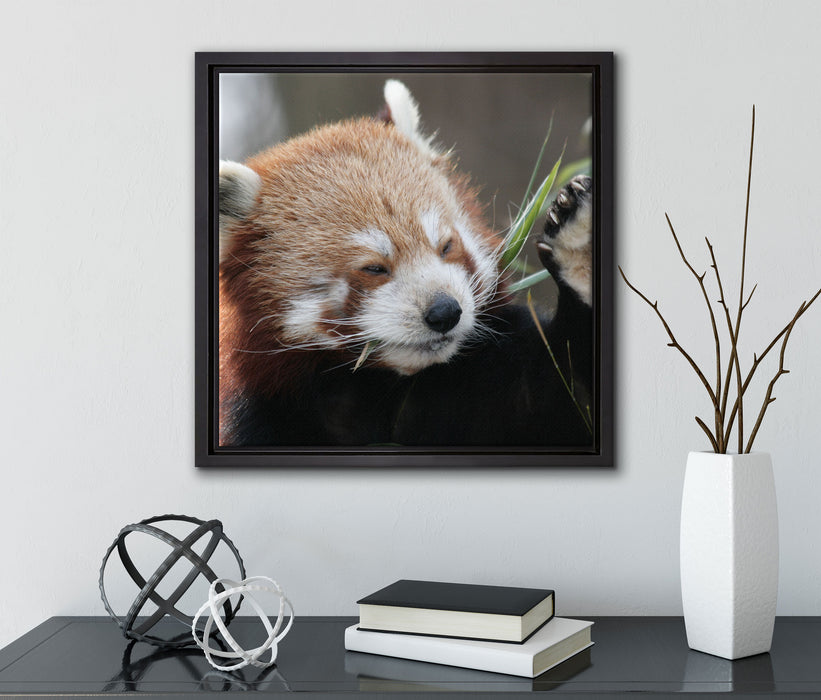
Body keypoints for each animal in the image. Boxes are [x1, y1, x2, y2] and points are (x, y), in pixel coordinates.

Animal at [218, 80, 594, 448]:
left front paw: (579, 246)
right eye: (374, 268)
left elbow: (571, 396)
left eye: (446, 246)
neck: (385, 387)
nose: (445, 312)